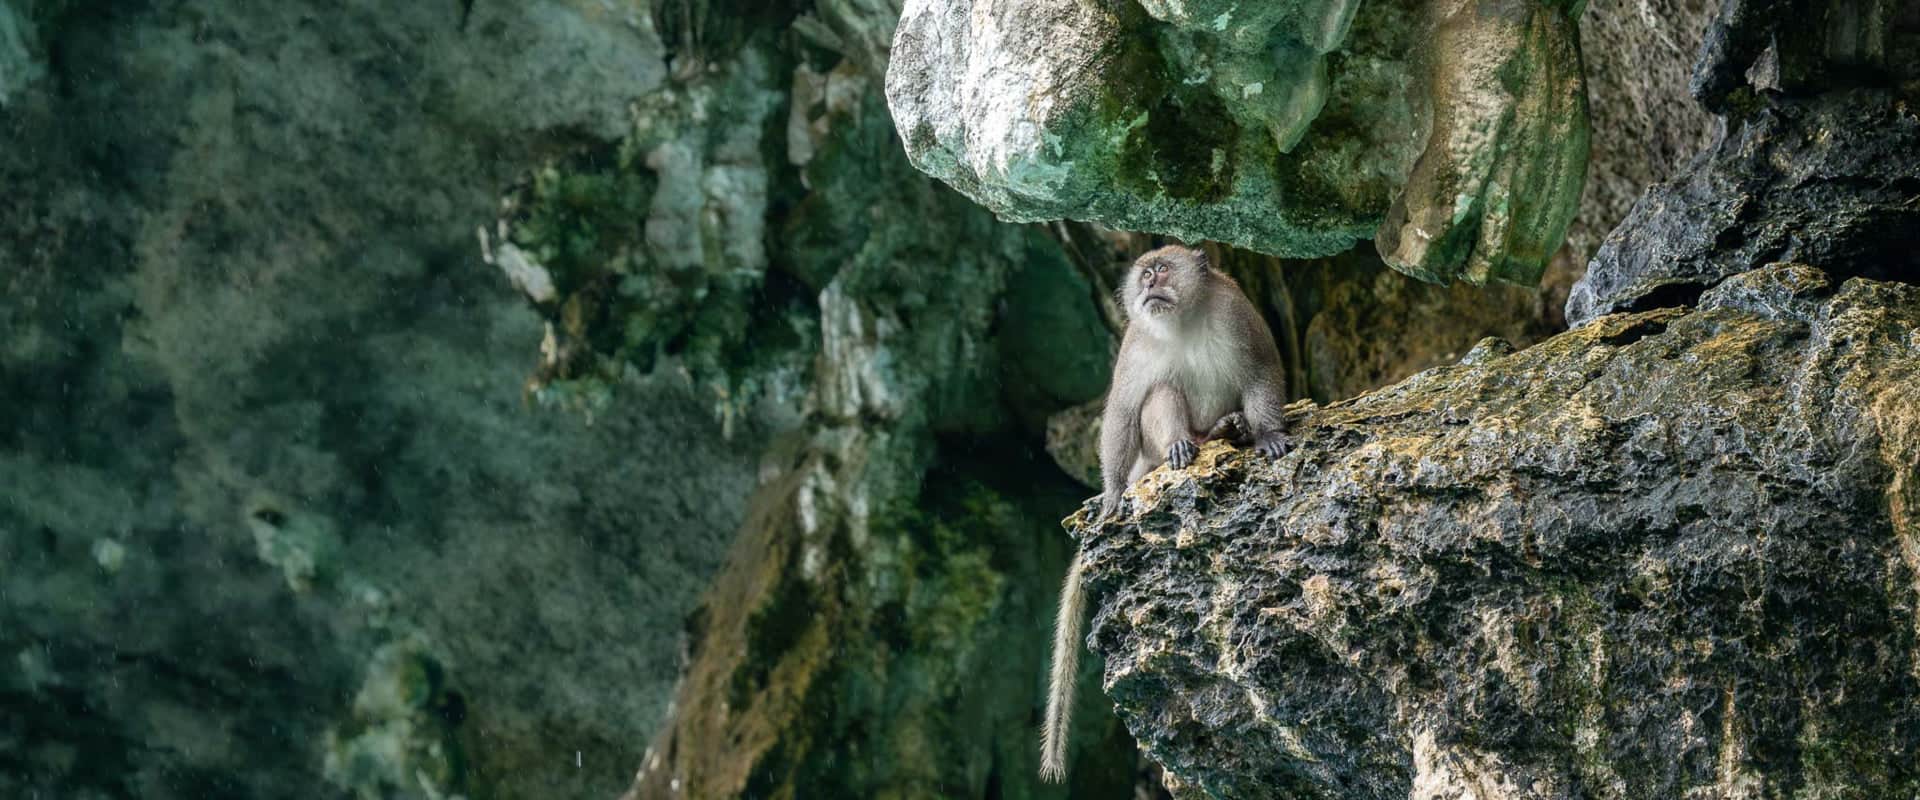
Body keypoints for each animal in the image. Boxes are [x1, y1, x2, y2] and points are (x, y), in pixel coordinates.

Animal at [1040, 244, 1291, 783]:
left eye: (1163, 269)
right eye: (1145, 273)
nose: (1151, 283)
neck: (1182, 324)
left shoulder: (1236, 312)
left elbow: (1261, 370)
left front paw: (1267, 435)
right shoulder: (1135, 345)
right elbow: (1123, 410)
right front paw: (1113, 493)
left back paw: (1230, 429)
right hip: (1152, 448)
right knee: (1161, 394)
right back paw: (1186, 442)